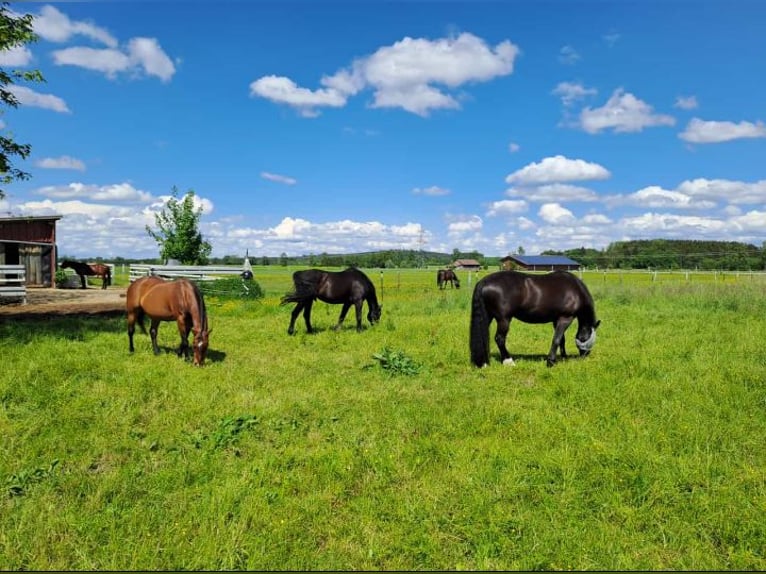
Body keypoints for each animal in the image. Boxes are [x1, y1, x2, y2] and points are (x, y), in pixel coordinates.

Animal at [469, 270, 600, 368]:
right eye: (588, 337)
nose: (585, 355)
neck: (575, 291)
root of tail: (484, 281)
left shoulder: (556, 320)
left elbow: (561, 340)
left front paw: (563, 357)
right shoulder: (565, 318)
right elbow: (557, 339)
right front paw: (551, 362)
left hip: (488, 317)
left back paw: (483, 362)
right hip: (504, 319)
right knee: (499, 339)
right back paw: (508, 361)